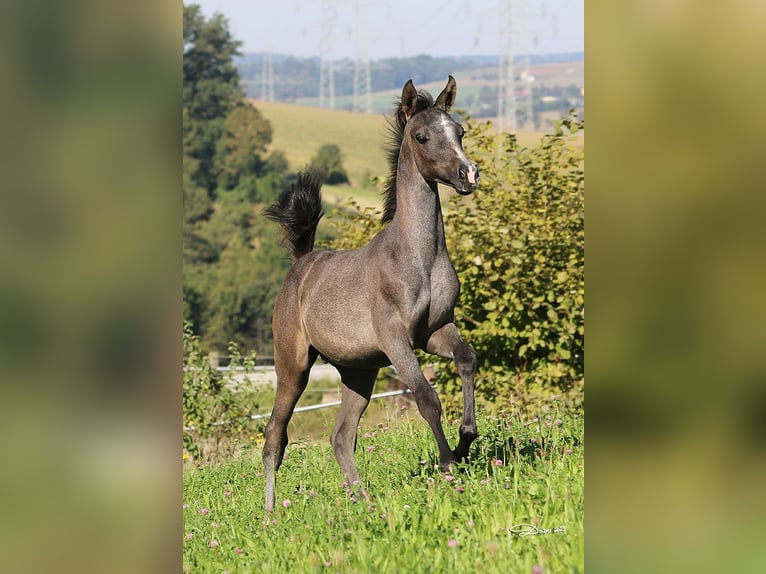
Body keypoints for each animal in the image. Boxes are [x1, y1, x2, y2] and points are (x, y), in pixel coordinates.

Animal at [262, 76, 479, 512]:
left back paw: (364, 502)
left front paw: (466, 441)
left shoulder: (436, 332)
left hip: (358, 372)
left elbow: (467, 359)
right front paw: (448, 465)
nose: (468, 174)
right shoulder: (396, 340)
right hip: (293, 367)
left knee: (341, 437)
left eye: (460, 132)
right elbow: (426, 397)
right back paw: (269, 513)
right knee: (275, 435)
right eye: (422, 136)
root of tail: (302, 263)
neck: (419, 257)